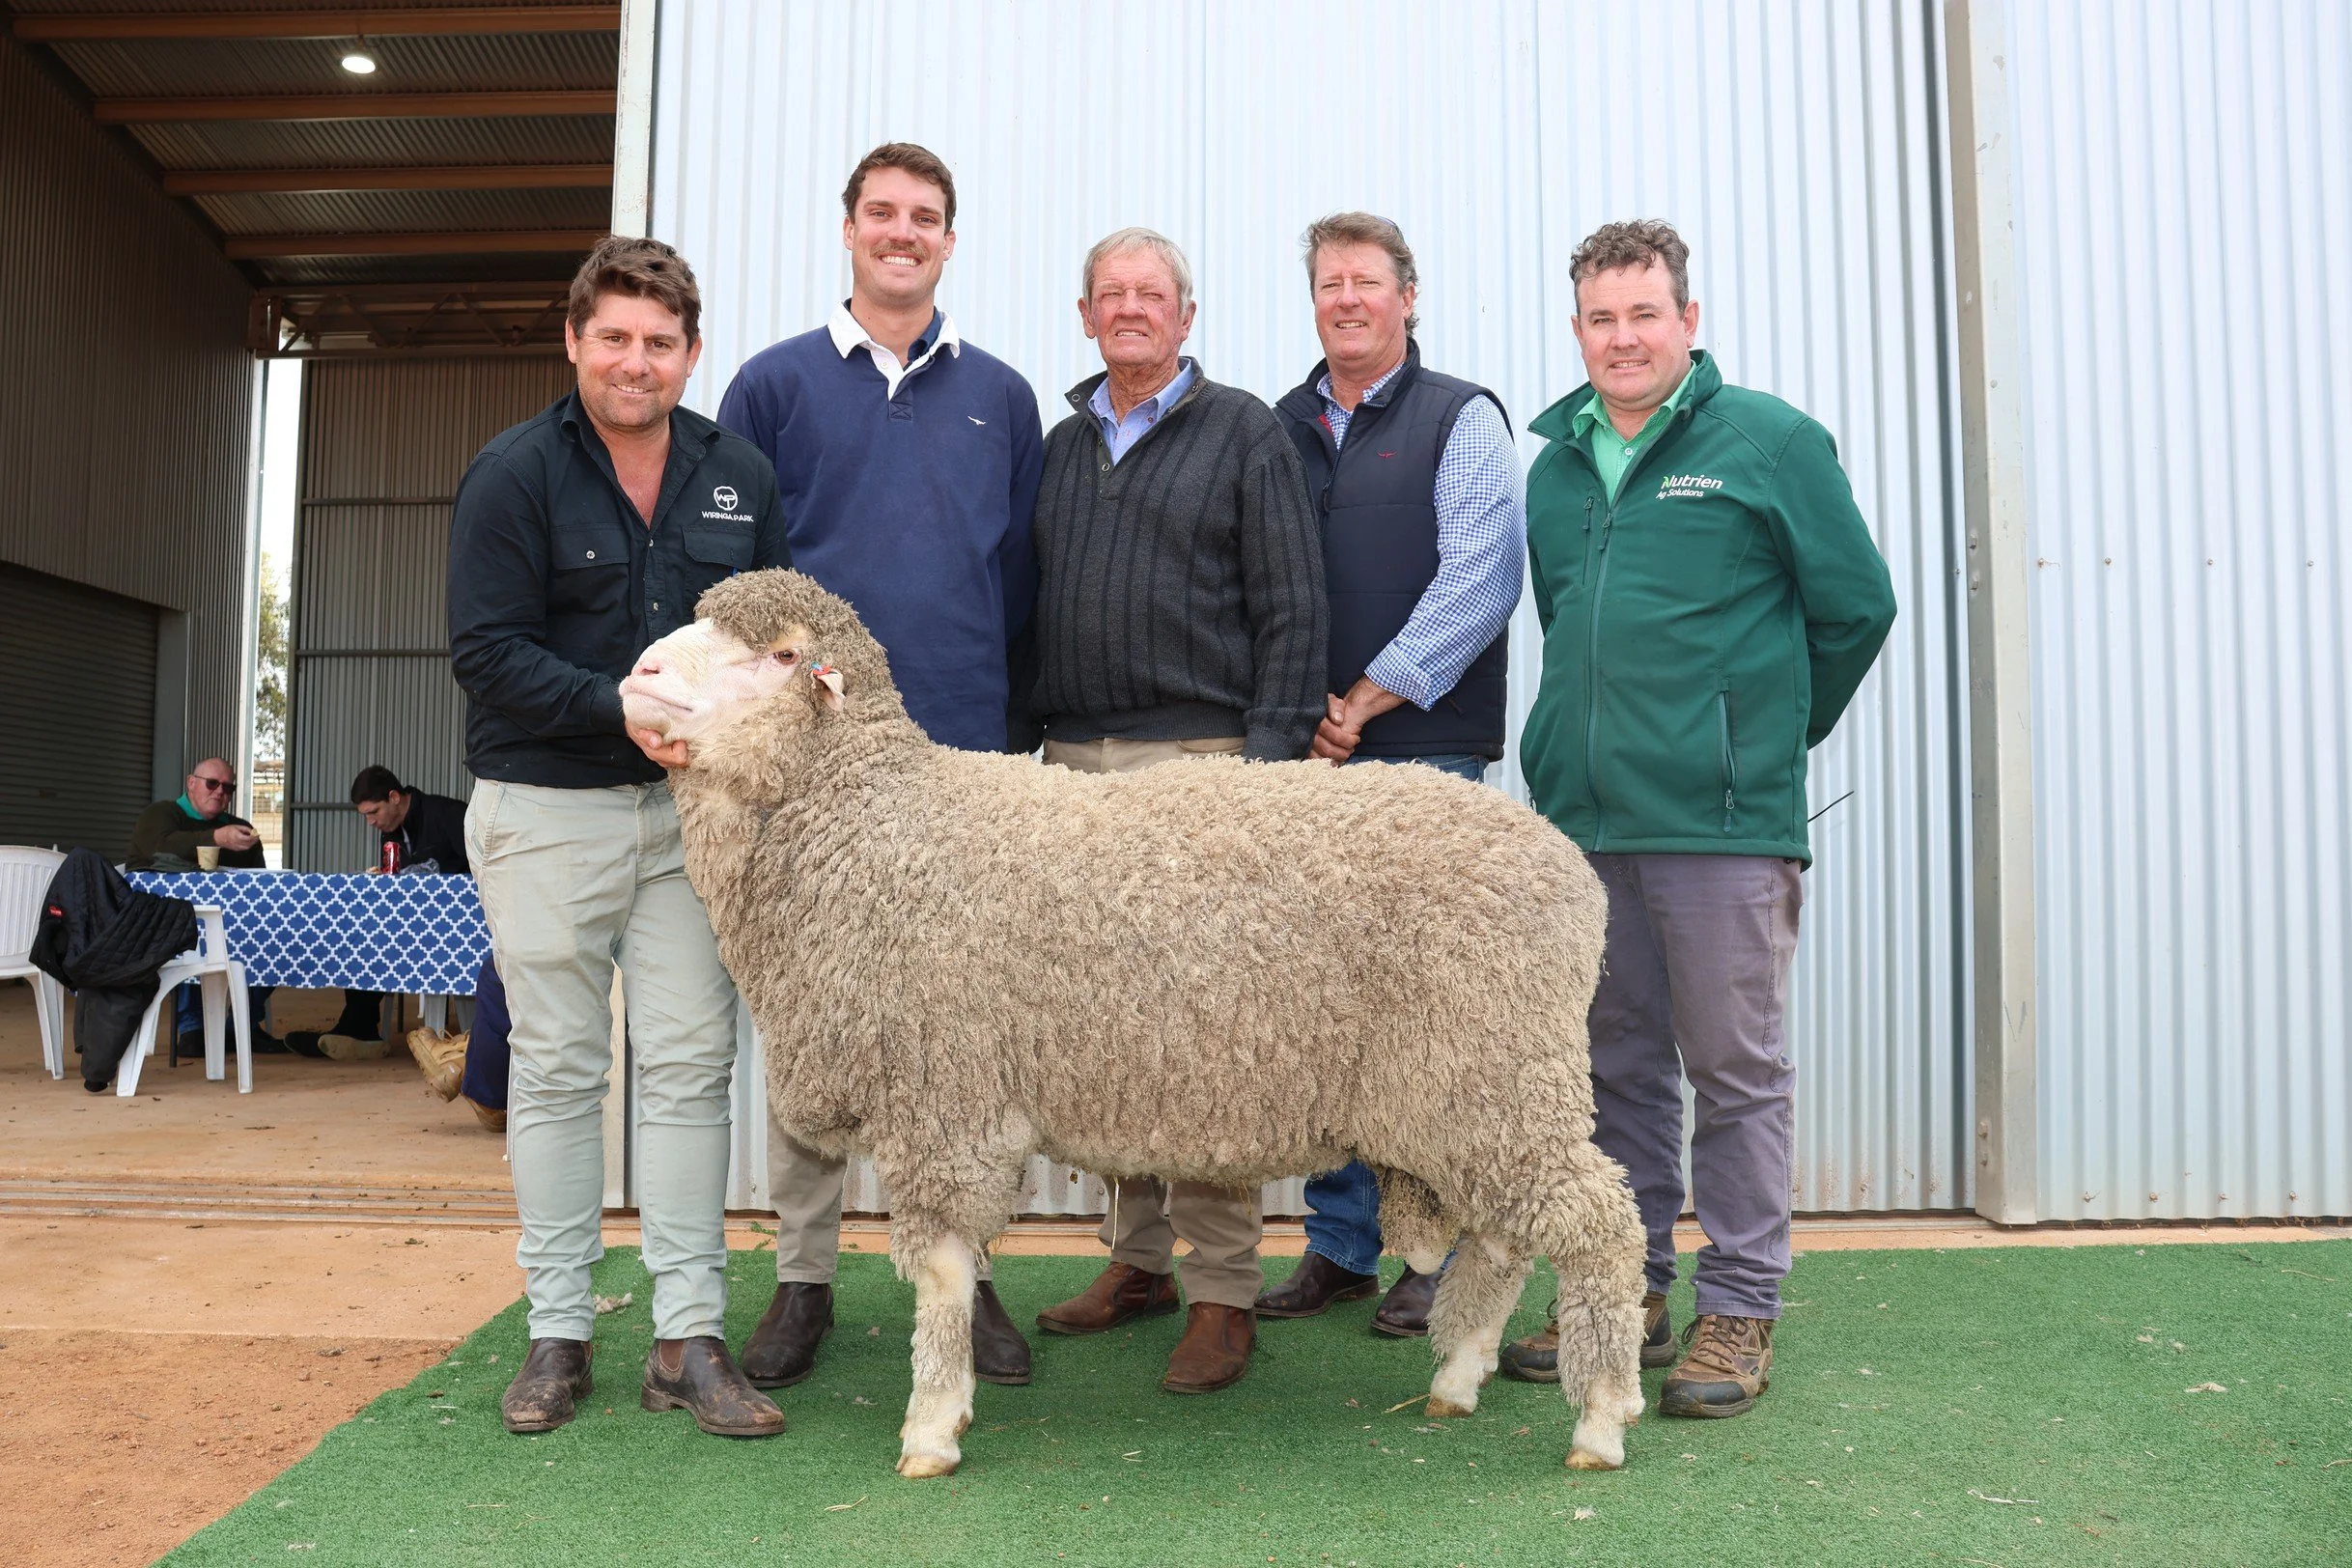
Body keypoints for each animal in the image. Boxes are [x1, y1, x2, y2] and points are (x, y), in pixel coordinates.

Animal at [619, 568, 1648, 1480]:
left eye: (782, 655)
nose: (640, 673)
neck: (874, 825)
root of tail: (1566, 865)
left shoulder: (944, 1098)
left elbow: (943, 1273)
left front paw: (931, 1429)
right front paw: (953, 1405)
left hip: (1495, 1069)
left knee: (1598, 1225)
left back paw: (1599, 1420)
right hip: (1466, 1094)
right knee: (1508, 1236)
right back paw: (1459, 1378)